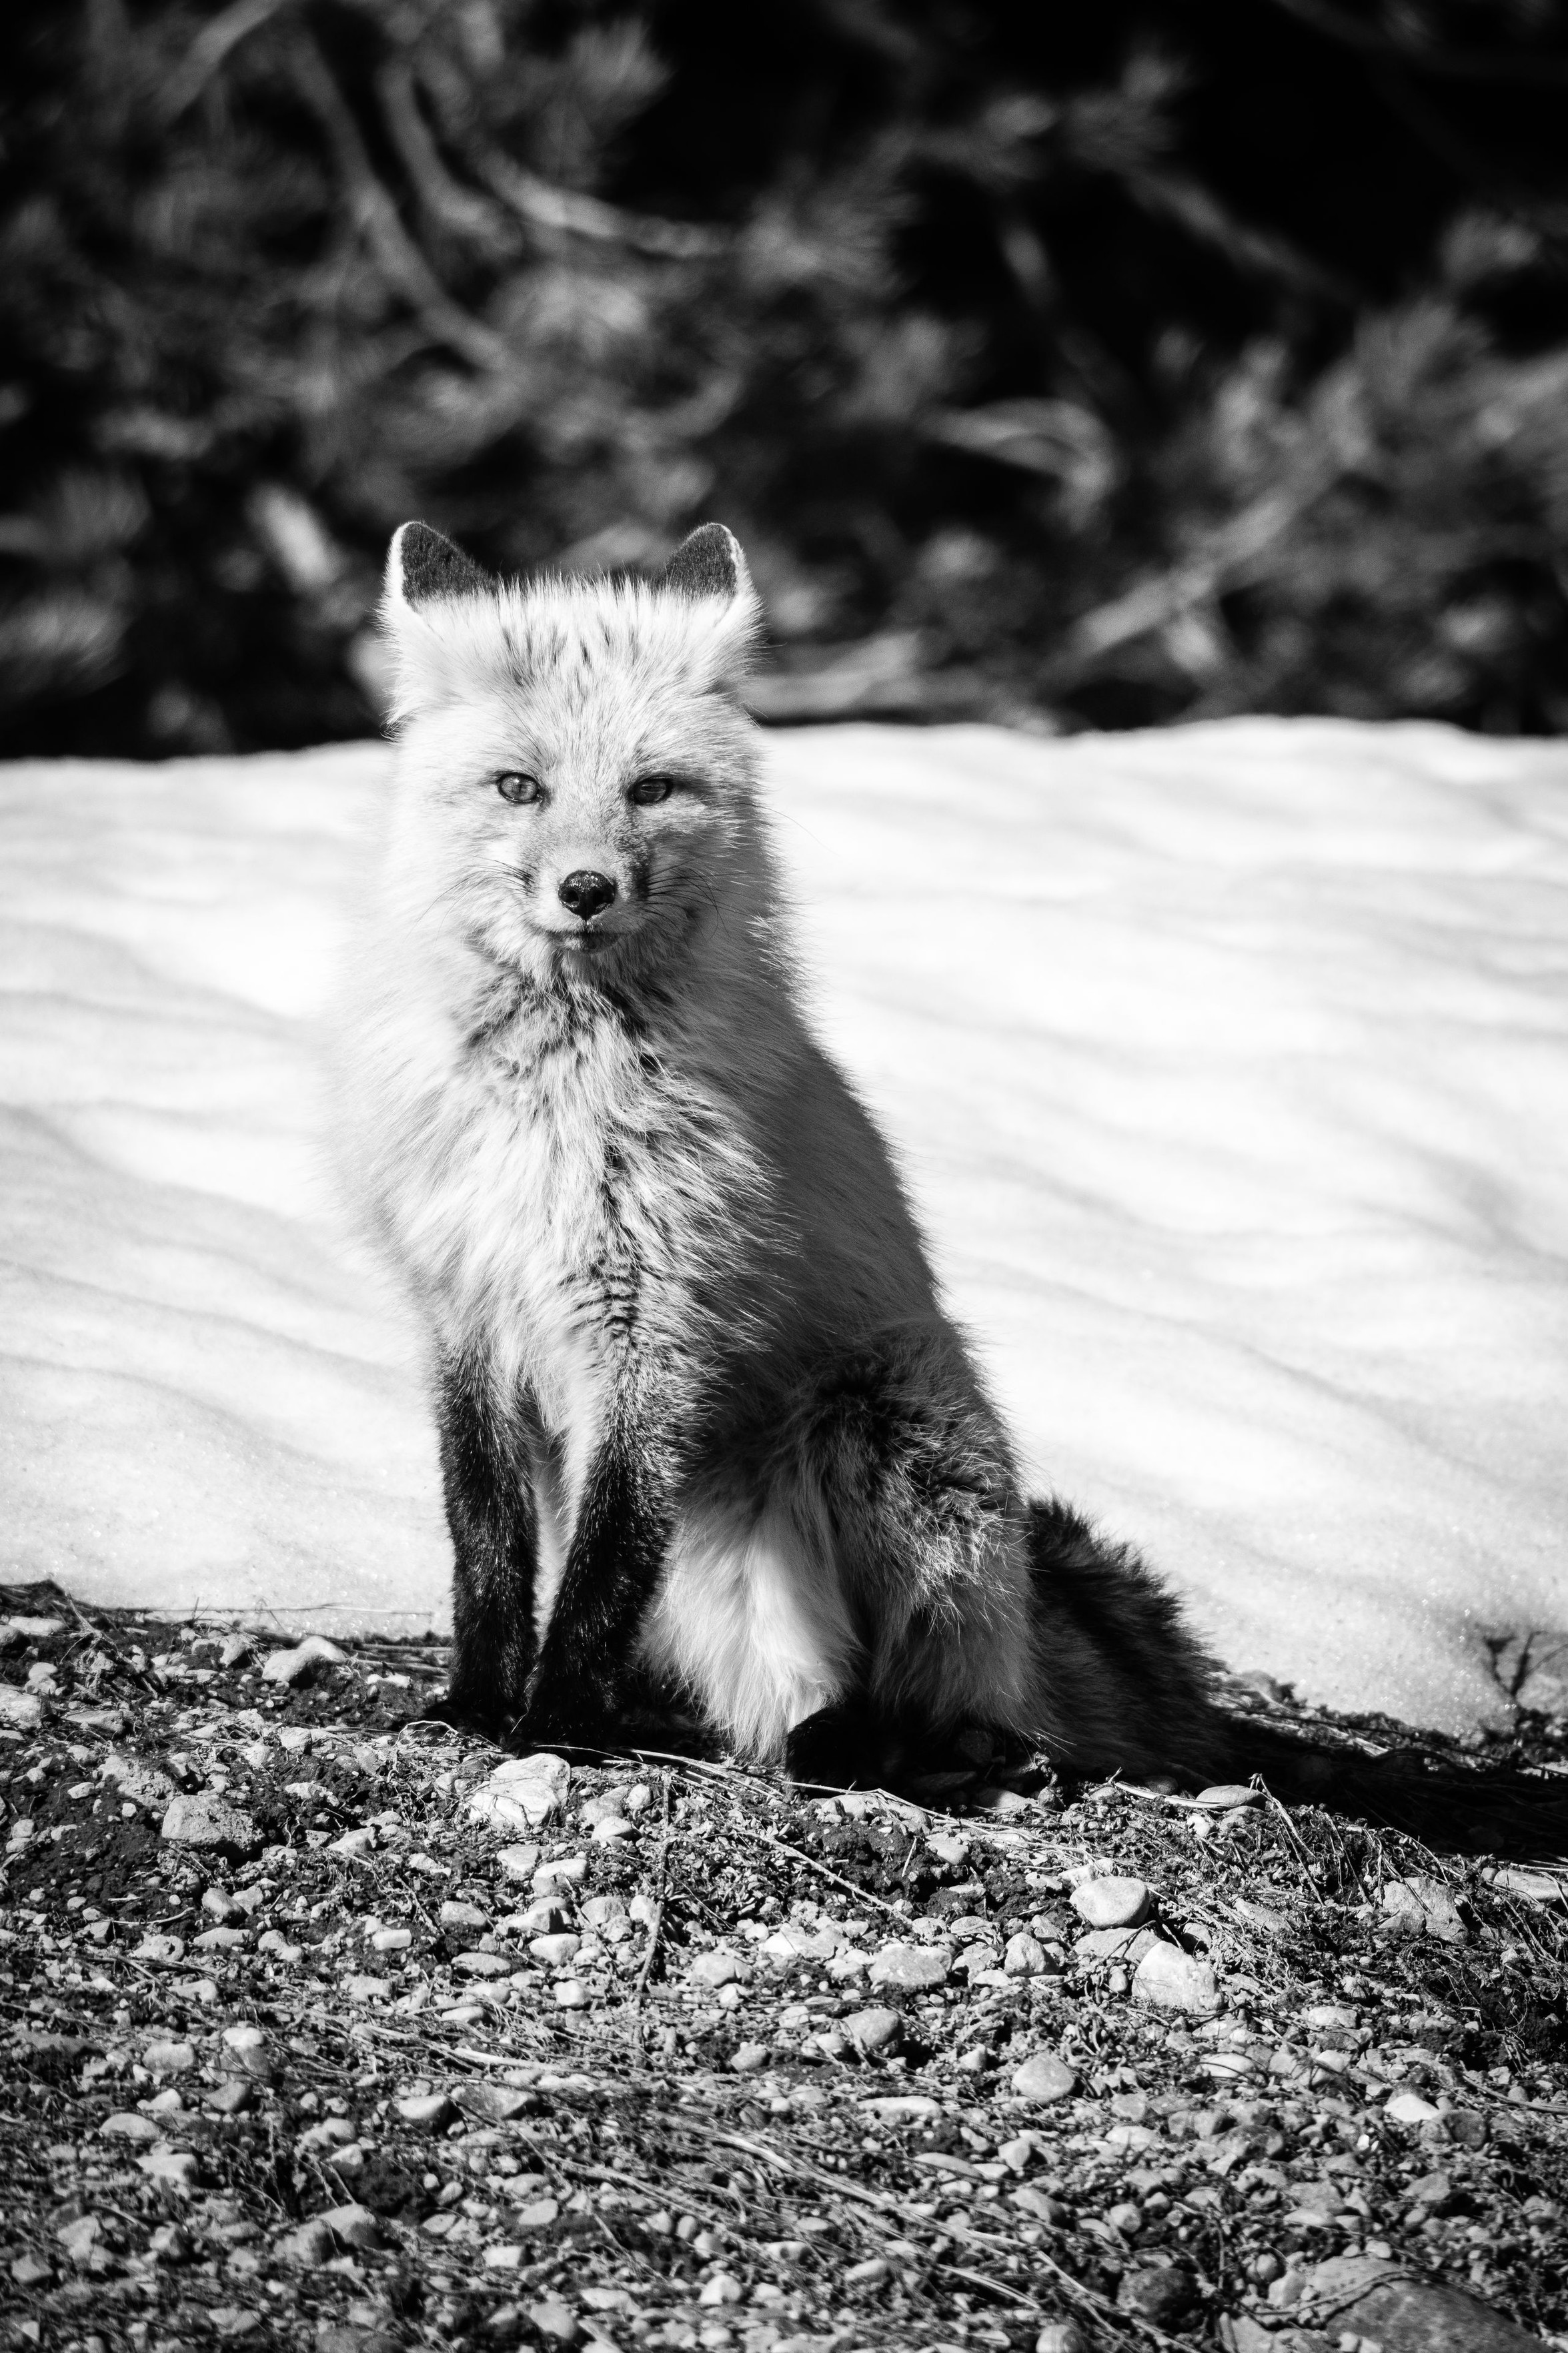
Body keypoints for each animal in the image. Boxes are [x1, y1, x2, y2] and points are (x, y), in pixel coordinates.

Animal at [343, 520, 1568, 1854]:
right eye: (517, 787)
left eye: (650, 789)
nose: (584, 889)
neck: (555, 1101)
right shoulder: (463, 1310)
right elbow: (486, 1543)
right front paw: (477, 1703)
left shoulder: (651, 1324)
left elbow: (607, 1560)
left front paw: (560, 1718)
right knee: (776, 1701)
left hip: (880, 1429)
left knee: (945, 1702)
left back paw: (900, 1744)